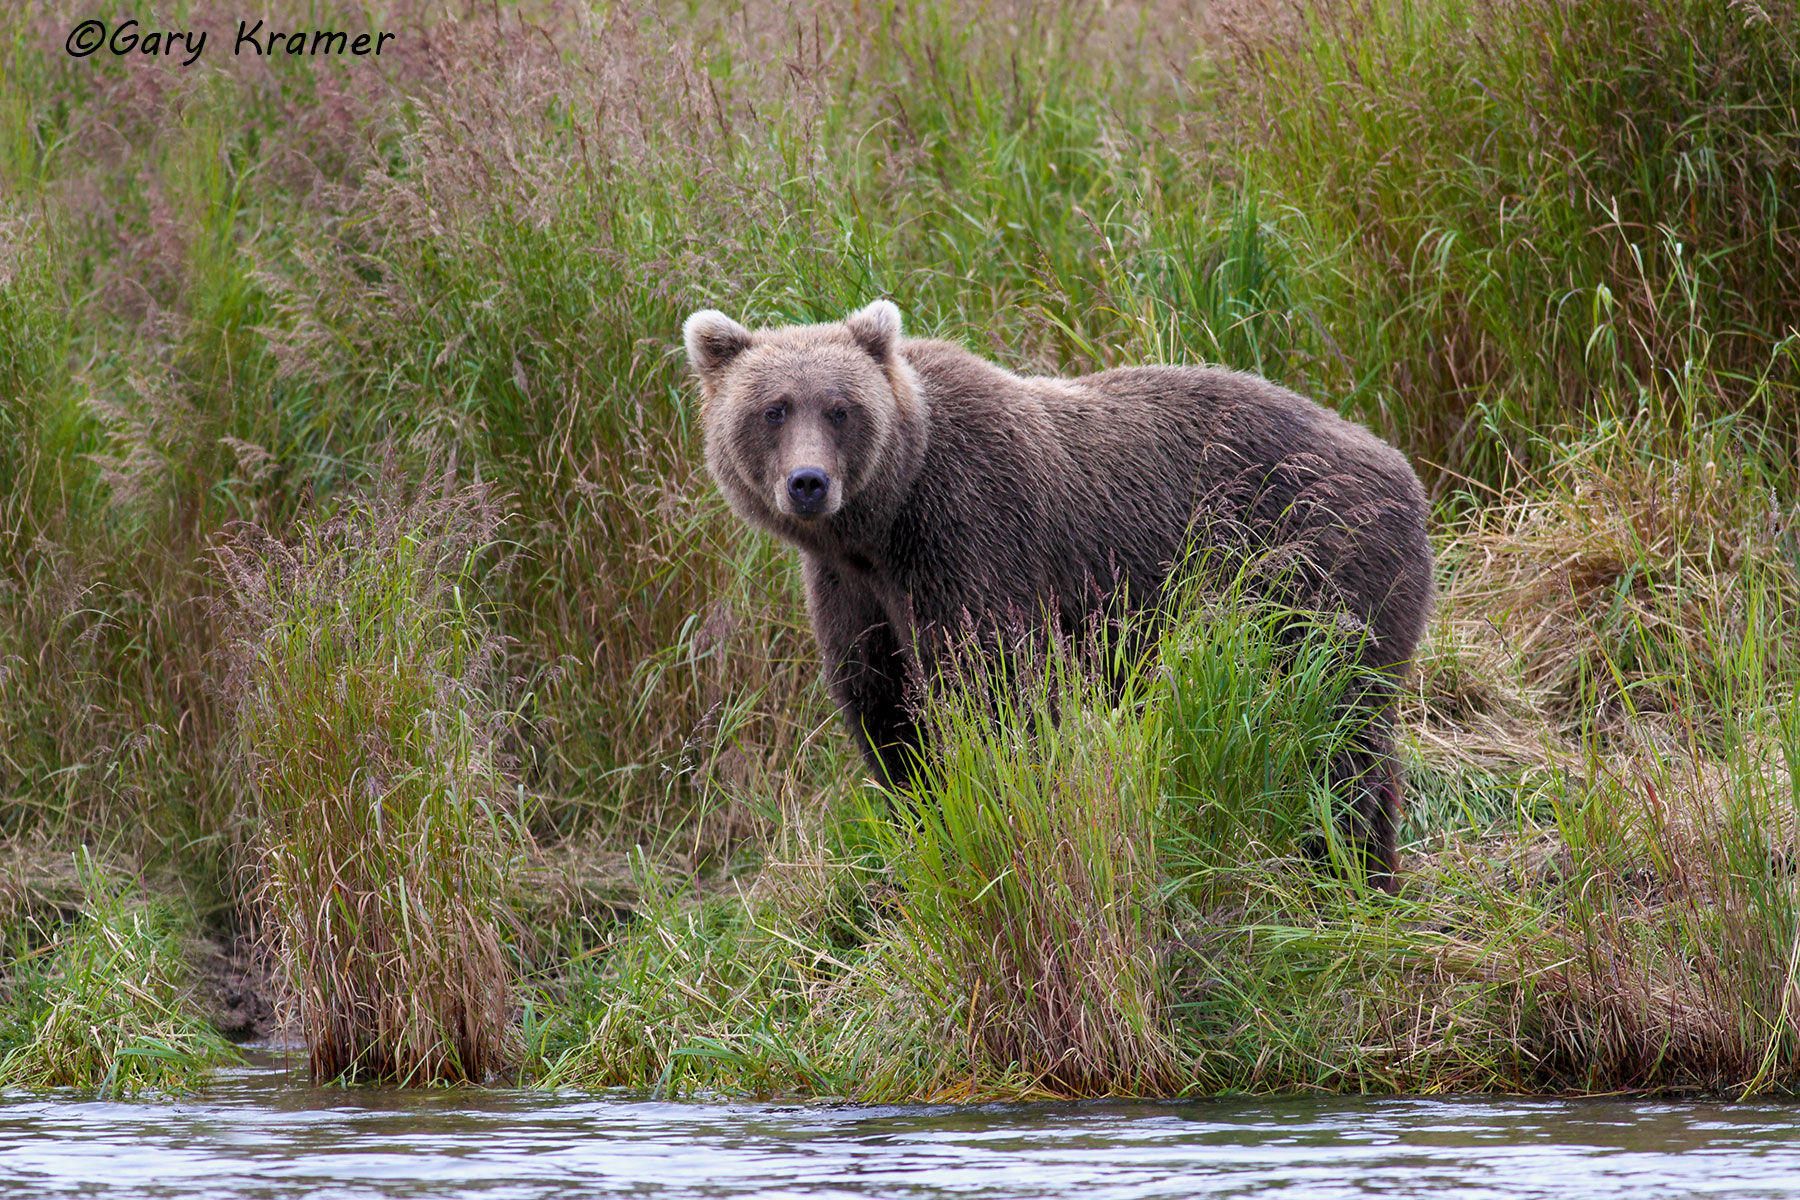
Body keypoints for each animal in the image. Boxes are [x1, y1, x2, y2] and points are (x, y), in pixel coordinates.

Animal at [684, 300, 1433, 888]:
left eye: (840, 409)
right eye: (773, 409)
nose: (808, 483)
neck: (882, 525)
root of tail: (1402, 466)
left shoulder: (970, 537)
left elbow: (997, 693)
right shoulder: (853, 593)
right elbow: (887, 712)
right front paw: (925, 827)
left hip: (1317, 561)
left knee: (1331, 724)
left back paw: (1345, 867)